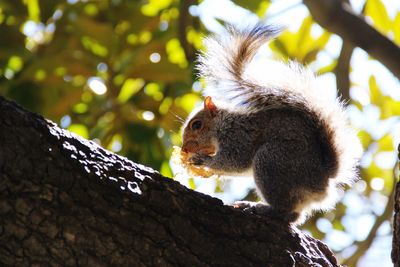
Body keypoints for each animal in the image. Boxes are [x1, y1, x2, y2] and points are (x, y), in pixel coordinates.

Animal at [181, 25, 362, 226]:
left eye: (197, 125)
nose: (184, 149)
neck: (223, 124)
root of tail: (323, 180)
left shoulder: (239, 137)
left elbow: (235, 162)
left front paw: (201, 160)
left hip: (272, 160)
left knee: (290, 212)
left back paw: (260, 208)